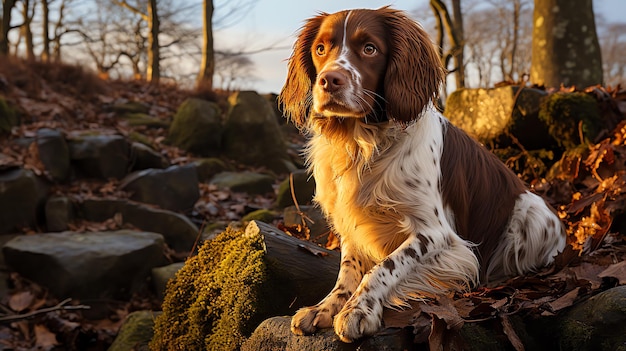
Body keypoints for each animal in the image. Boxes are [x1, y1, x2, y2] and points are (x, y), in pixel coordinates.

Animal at [278, 6, 564, 346]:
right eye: (320, 49)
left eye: (369, 48)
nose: (329, 80)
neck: (362, 143)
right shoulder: (351, 223)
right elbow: (348, 270)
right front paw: (324, 307)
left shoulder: (437, 234)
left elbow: (385, 266)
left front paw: (359, 310)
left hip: (531, 216)